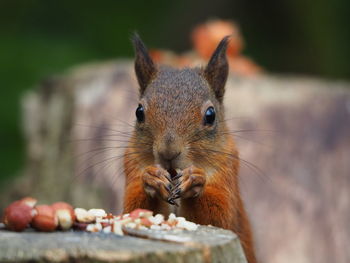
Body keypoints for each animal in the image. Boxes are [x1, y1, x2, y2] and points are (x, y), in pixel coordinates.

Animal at [123, 35, 258, 263]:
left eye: (211, 115)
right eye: (139, 112)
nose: (168, 152)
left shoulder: (228, 170)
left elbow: (220, 218)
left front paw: (194, 180)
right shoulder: (131, 163)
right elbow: (132, 209)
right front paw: (151, 177)